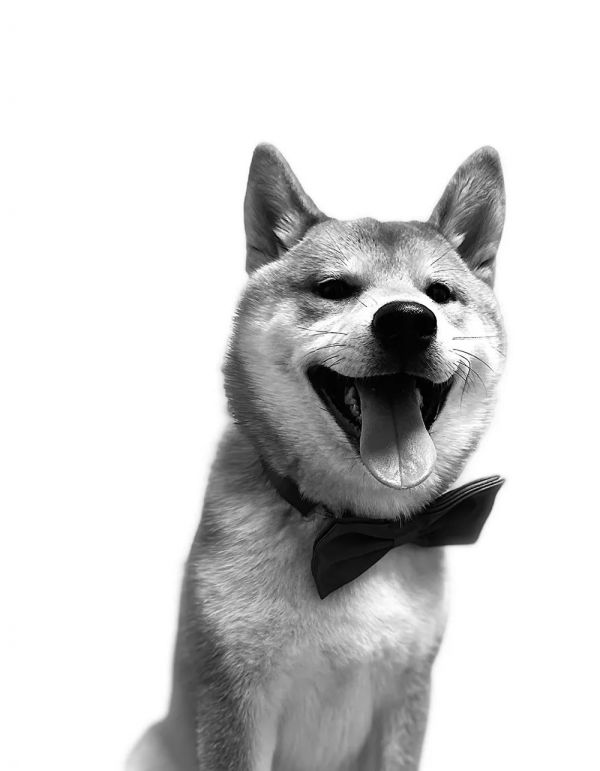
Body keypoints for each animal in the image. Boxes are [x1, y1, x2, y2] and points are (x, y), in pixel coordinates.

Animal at [128, 143, 506, 771]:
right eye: (333, 288)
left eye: (439, 293)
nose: (408, 319)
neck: (357, 530)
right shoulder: (235, 700)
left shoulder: (406, 697)